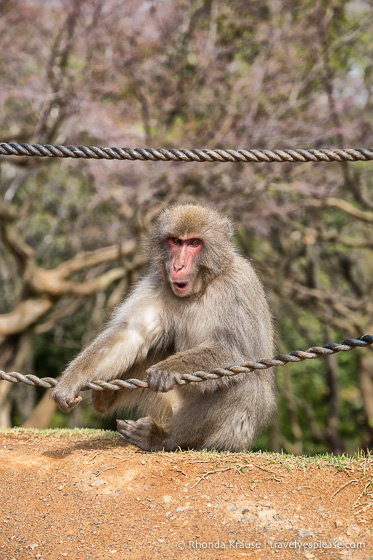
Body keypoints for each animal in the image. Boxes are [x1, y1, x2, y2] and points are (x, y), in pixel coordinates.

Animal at [50, 203, 274, 452]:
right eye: (175, 241)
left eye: (194, 243)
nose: (178, 265)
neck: (201, 288)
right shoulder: (157, 284)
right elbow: (131, 333)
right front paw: (73, 379)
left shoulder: (239, 285)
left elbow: (238, 352)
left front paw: (168, 369)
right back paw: (105, 398)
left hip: (231, 435)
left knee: (245, 383)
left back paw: (163, 439)